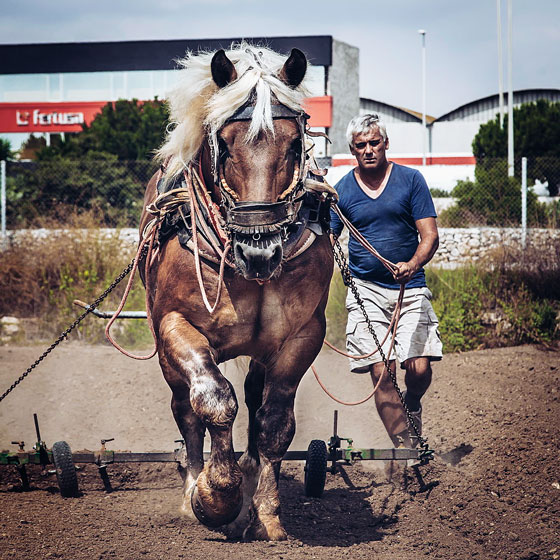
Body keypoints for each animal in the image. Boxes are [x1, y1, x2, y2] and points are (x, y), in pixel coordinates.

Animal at [138, 44, 334, 544]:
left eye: (294, 144)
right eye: (223, 144)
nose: (258, 249)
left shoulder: (302, 334)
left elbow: (274, 423)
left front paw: (265, 513)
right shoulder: (175, 325)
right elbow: (213, 401)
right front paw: (214, 497)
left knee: (253, 395)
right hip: (167, 352)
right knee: (186, 409)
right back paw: (194, 483)